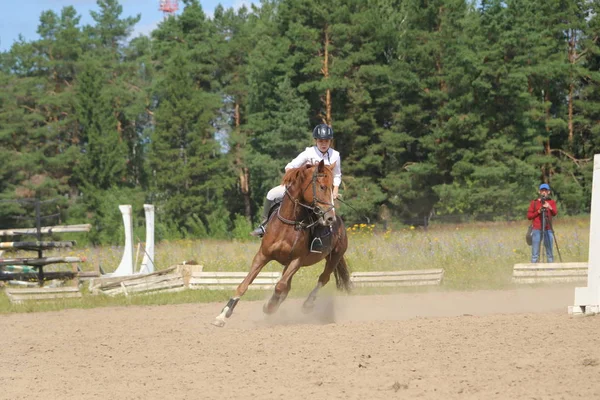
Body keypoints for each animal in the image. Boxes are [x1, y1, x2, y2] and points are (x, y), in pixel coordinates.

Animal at [212, 159, 350, 328]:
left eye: (332, 187)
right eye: (322, 186)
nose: (330, 217)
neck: (289, 223)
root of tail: (341, 223)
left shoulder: (297, 260)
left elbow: (279, 286)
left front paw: (270, 306)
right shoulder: (262, 256)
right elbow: (244, 284)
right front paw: (222, 315)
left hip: (335, 256)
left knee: (322, 279)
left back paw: (307, 304)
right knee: (288, 286)